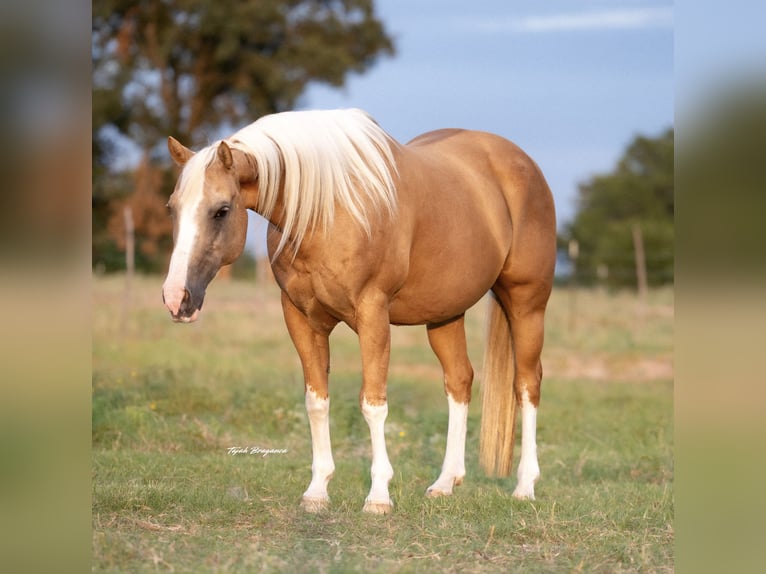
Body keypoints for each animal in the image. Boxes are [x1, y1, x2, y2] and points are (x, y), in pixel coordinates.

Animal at [161, 108, 556, 514]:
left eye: (221, 210)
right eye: (172, 208)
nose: (176, 298)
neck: (328, 210)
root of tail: (519, 161)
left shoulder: (372, 316)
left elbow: (373, 403)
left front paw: (378, 496)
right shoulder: (300, 318)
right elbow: (317, 402)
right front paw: (317, 491)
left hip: (527, 303)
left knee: (527, 384)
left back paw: (525, 486)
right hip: (446, 314)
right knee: (459, 381)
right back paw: (445, 482)